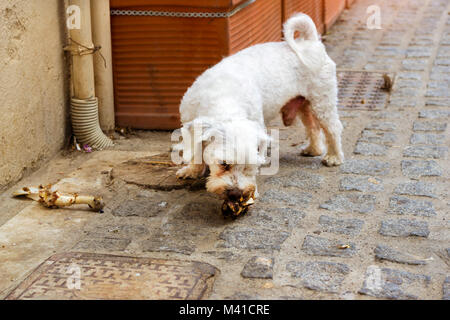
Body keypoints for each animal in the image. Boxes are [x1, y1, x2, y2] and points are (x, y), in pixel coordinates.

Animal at [176, 13, 344, 208]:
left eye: (250, 166)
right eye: (224, 164)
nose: (236, 194)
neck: (224, 96)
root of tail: (309, 41)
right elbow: (195, 150)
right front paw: (192, 170)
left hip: (322, 101)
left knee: (333, 128)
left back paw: (333, 157)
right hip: (305, 105)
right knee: (313, 127)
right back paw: (314, 149)